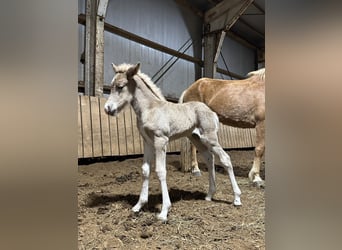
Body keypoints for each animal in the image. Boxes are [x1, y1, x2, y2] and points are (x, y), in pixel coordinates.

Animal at [103, 62, 240, 221]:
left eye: (120, 86)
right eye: (111, 86)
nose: (107, 109)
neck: (150, 108)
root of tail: (212, 112)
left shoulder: (160, 140)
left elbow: (161, 171)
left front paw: (164, 212)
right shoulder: (147, 142)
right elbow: (145, 170)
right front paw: (138, 206)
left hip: (210, 138)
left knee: (225, 159)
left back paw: (237, 198)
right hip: (196, 138)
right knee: (209, 158)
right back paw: (209, 195)